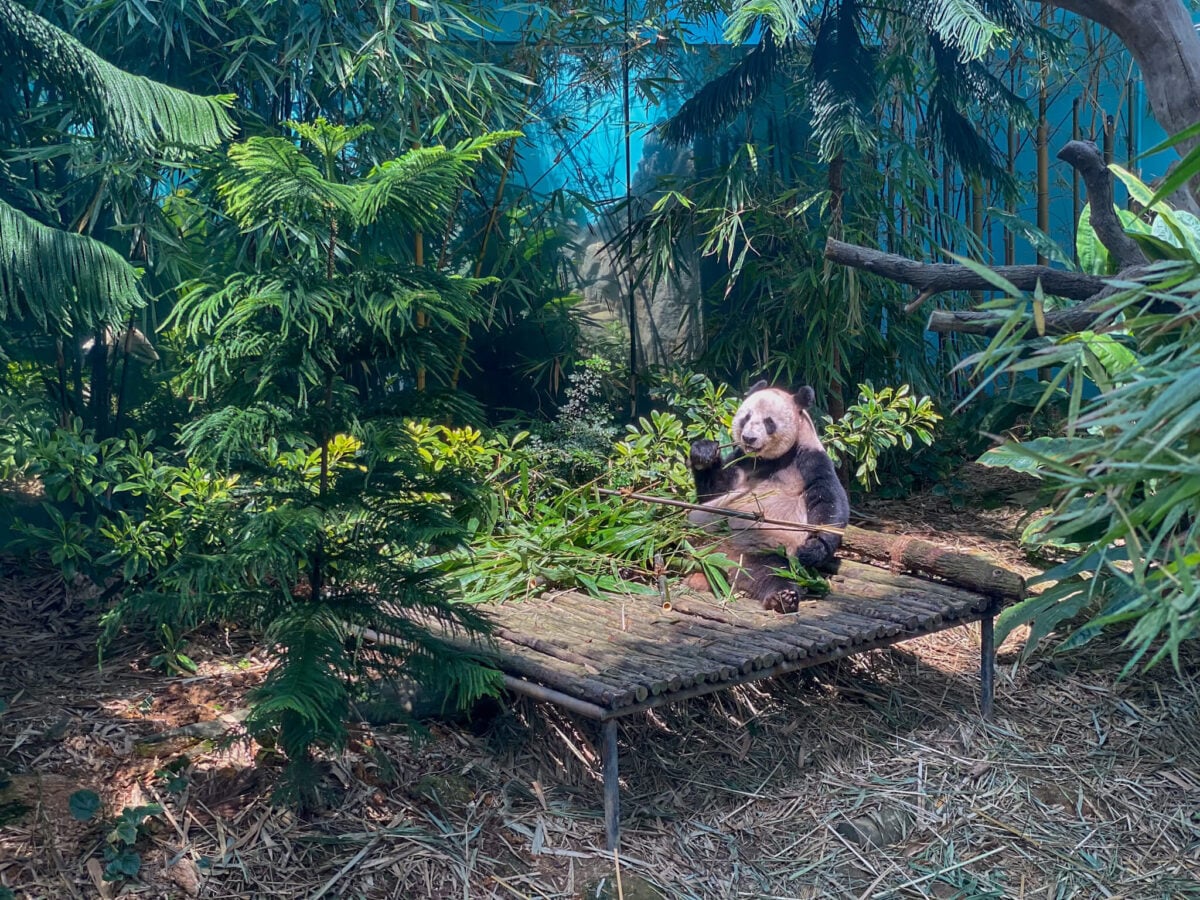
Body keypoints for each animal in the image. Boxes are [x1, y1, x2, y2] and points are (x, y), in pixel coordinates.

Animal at [686, 381, 850, 612]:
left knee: (771, 571)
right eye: (746, 417)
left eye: (768, 422)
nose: (749, 438)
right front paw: (703, 453)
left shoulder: (810, 459)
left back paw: (782, 597)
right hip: (694, 532)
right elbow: (715, 492)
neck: (769, 458)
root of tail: (714, 558)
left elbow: (829, 501)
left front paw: (813, 548)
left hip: (764, 546)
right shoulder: (742, 461)